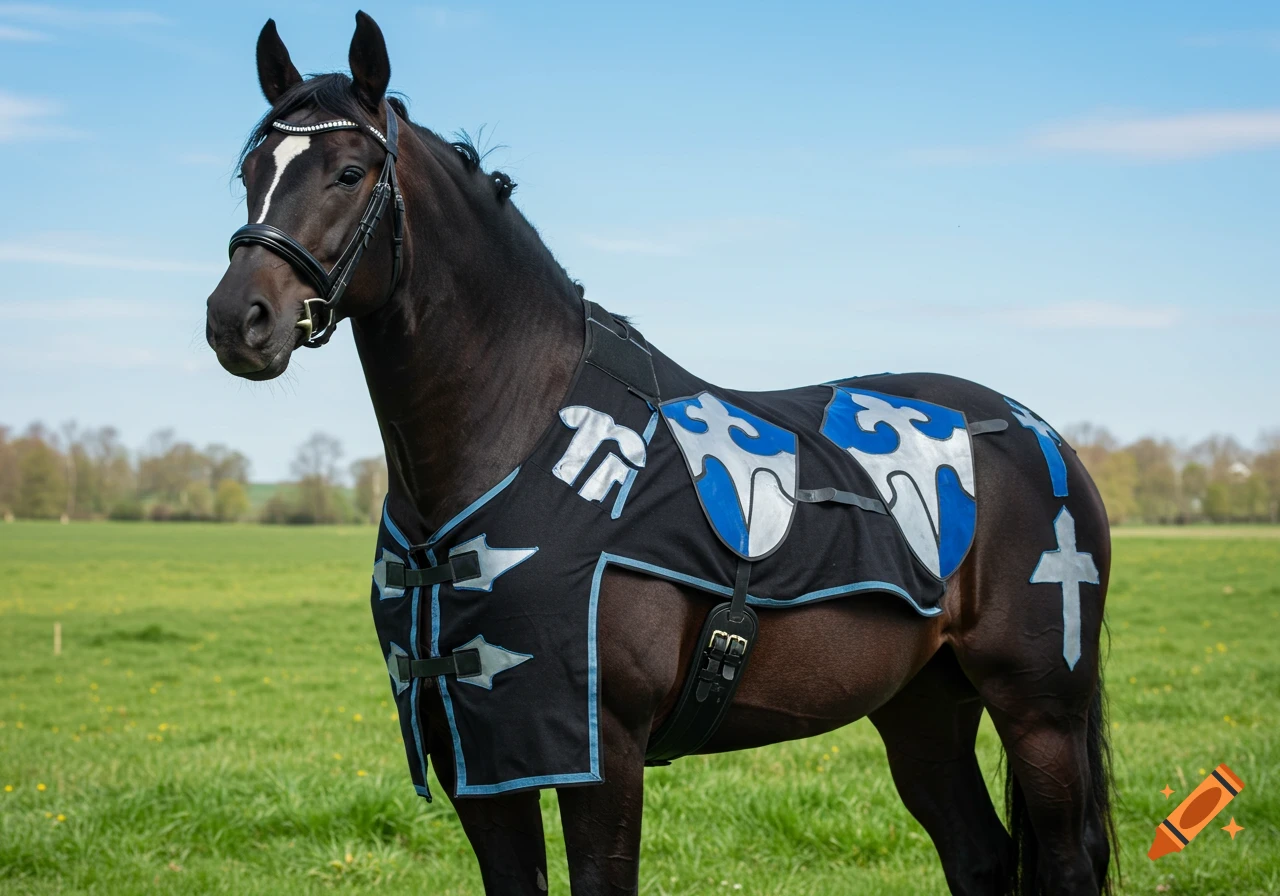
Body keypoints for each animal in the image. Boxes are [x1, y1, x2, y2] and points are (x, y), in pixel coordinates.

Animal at [205, 13, 1116, 895]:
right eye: (251, 170)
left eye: (350, 172)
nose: (236, 320)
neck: (509, 437)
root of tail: (1040, 433)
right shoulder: (476, 751)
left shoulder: (601, 752)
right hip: (922, 707)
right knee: (978, 856)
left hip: (1040, 711)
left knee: (1066, 863)